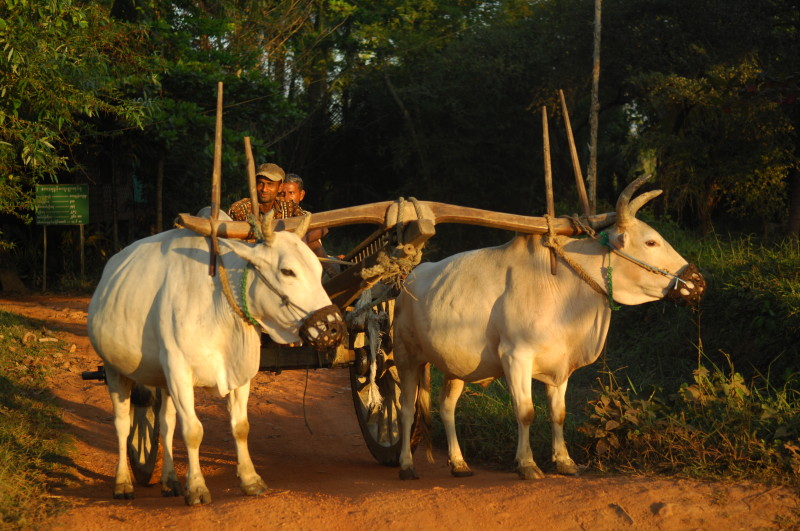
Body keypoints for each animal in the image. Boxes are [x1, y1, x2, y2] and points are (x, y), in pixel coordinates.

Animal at [88, 209, 345, 505]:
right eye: (287, 271)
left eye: (318, 269)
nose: (334, 326)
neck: (220, 304)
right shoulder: (179, 372)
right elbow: (193, 431)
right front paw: (198, 488)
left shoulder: (239, 374)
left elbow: (240, 426)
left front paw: (250, 479)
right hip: (115, 370)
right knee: (122, 425)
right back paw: (122, 483)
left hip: (162, 379)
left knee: (166, 423)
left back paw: (170, 481)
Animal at [394, 175, 705, 480]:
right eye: (651, 242)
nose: (698, 281)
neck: (566, 287)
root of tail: (409, 279)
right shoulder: (516, 356)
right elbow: (526, 412)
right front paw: (527, 464)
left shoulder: (561, 363)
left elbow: (559, 413)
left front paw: (564, 460)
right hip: (406, 357)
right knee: (406, 408)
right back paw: (406, 464)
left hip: (455, 366)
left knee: (447, 407)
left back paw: (458, 463)